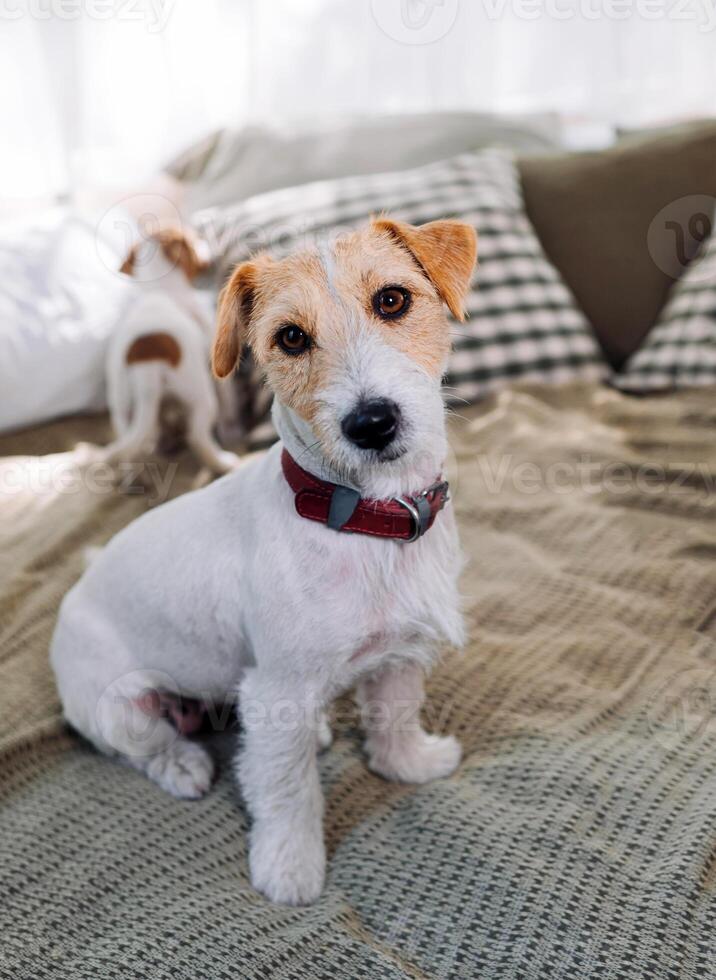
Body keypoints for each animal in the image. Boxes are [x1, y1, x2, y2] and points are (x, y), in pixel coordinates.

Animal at [96, 230, 241, 474]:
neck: (159, 288)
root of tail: (146, 360)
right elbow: (228, 399)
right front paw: (232, 429)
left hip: (121, 403)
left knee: (133, 437)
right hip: (199, 393)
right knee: (197, 436)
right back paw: (222, 461)